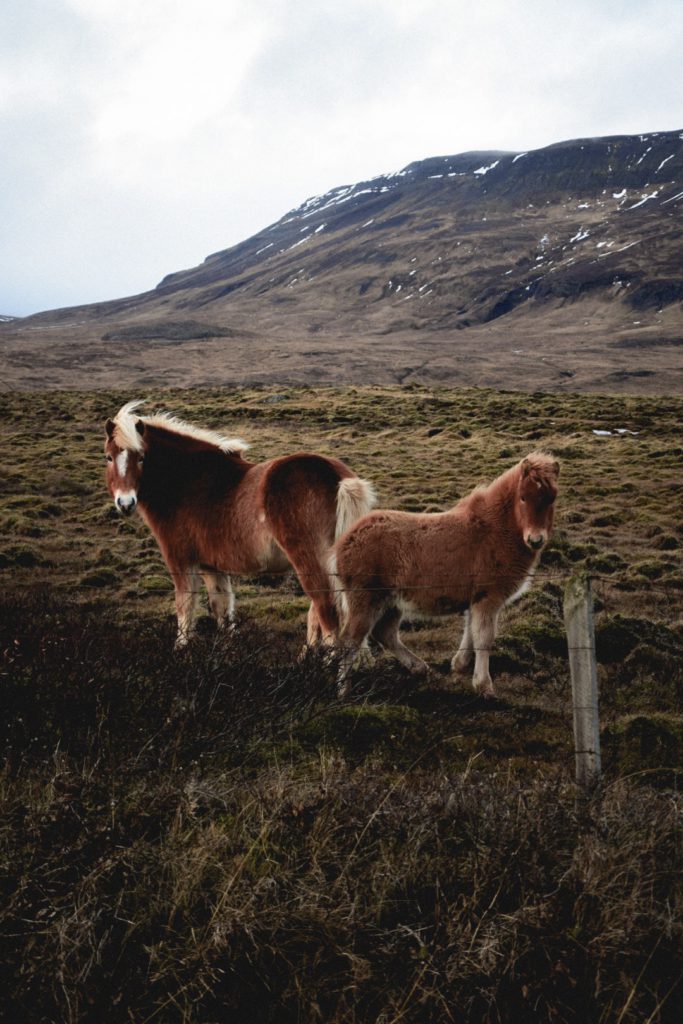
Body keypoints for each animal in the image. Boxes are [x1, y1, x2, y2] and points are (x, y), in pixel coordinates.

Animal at [104, 401, 376, 647]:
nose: (125, 503)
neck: (188, 481)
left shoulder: (181, 561)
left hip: (312, 566)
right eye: (108, 457)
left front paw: (181, 651)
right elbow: (223, 611)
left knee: (329, 619)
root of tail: (339, 478)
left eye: (141, 457)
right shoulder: (212, 567)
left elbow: (185, 610)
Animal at [331, 454, 561, 700]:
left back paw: (420, 669)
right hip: (365, 602)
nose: (535, 540)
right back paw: (343, 692)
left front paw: (460, 665)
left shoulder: (476, 599)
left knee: (385, 634)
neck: (494, 530)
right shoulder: (488, 598)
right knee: (349, 642)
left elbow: (471, 631)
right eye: (523, 498)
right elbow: (484, 638)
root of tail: (347, 538)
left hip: (390, 603)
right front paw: (484, 686)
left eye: (552, 498)